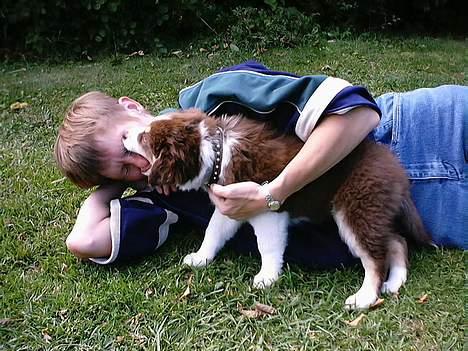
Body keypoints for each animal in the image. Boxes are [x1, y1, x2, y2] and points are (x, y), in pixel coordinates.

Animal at [123, 109, 432, 310]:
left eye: (144, 138)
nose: (125, 133)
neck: (217, 152)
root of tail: (398, 171)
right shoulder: (229, 207)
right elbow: (213, 232)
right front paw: (201, 258)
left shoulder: (267, 211)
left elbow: (268, 246)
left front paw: (267, 277)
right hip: (373, 210)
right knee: (397, 240)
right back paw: (395, 282)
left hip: (356, 207)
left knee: (375, 258)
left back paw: (365, 297)